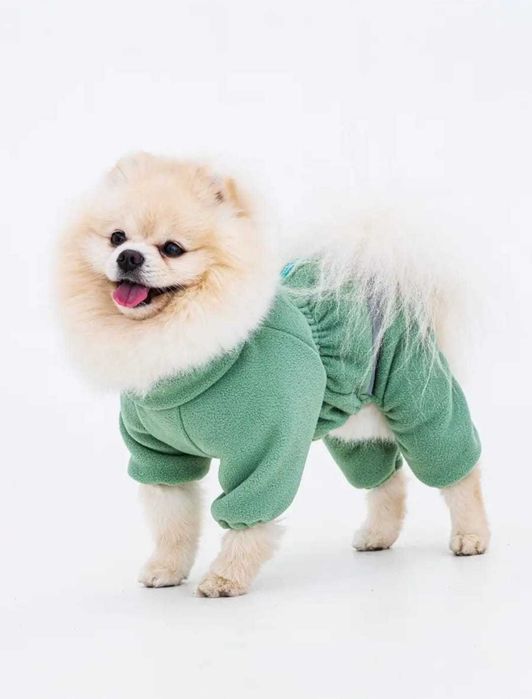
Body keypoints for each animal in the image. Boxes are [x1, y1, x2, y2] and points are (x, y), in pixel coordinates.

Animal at [56, 152, 490, 597]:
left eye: (172, 248)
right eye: (116, 237)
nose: (129, 257)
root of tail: (380, 277)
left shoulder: (266, 448)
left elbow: (249, 516)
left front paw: (227, 576)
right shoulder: (160, 455)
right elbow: (173, 522)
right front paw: (166, 568)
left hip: (419, 406)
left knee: (459, 471)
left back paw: (472, 535)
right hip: (353, 429)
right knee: (388, 480)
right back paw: (377, 536)